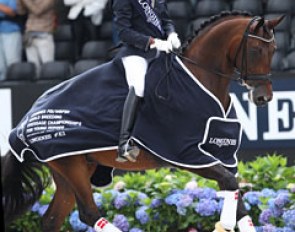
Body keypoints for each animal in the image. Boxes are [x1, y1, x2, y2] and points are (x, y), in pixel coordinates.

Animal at [1, 12, 284, 232]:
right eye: (256, 50)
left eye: (274, 50)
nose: (263, 97)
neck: (201, 77)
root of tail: (23, 123)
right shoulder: (186, 154)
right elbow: (230, 184)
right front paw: (223, 223)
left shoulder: (223, 154)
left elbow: (236, 195)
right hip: (72, 166)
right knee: (89, 214)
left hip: (70, 168)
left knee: (52, 220)